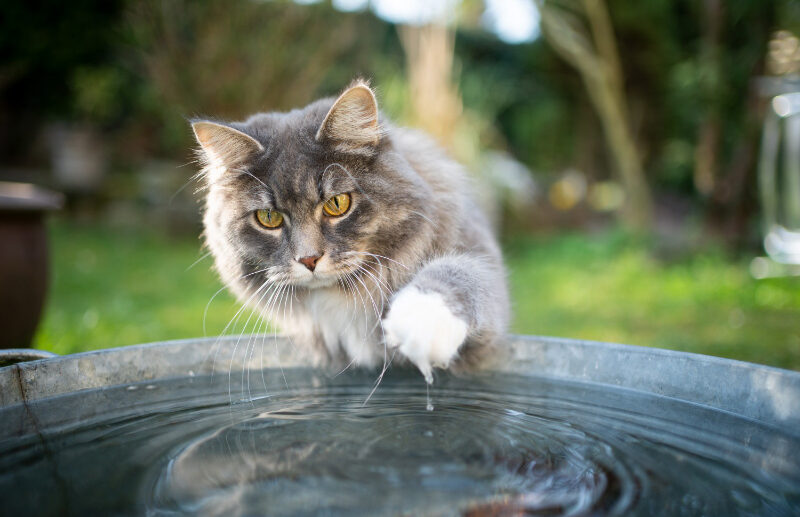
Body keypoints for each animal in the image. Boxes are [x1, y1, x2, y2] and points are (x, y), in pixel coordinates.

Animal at [191, 78, 510, 380]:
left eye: (337, 203)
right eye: (269, 217)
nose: (309, 259)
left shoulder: (482, 270)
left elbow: (460, 272)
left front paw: (420, 320)